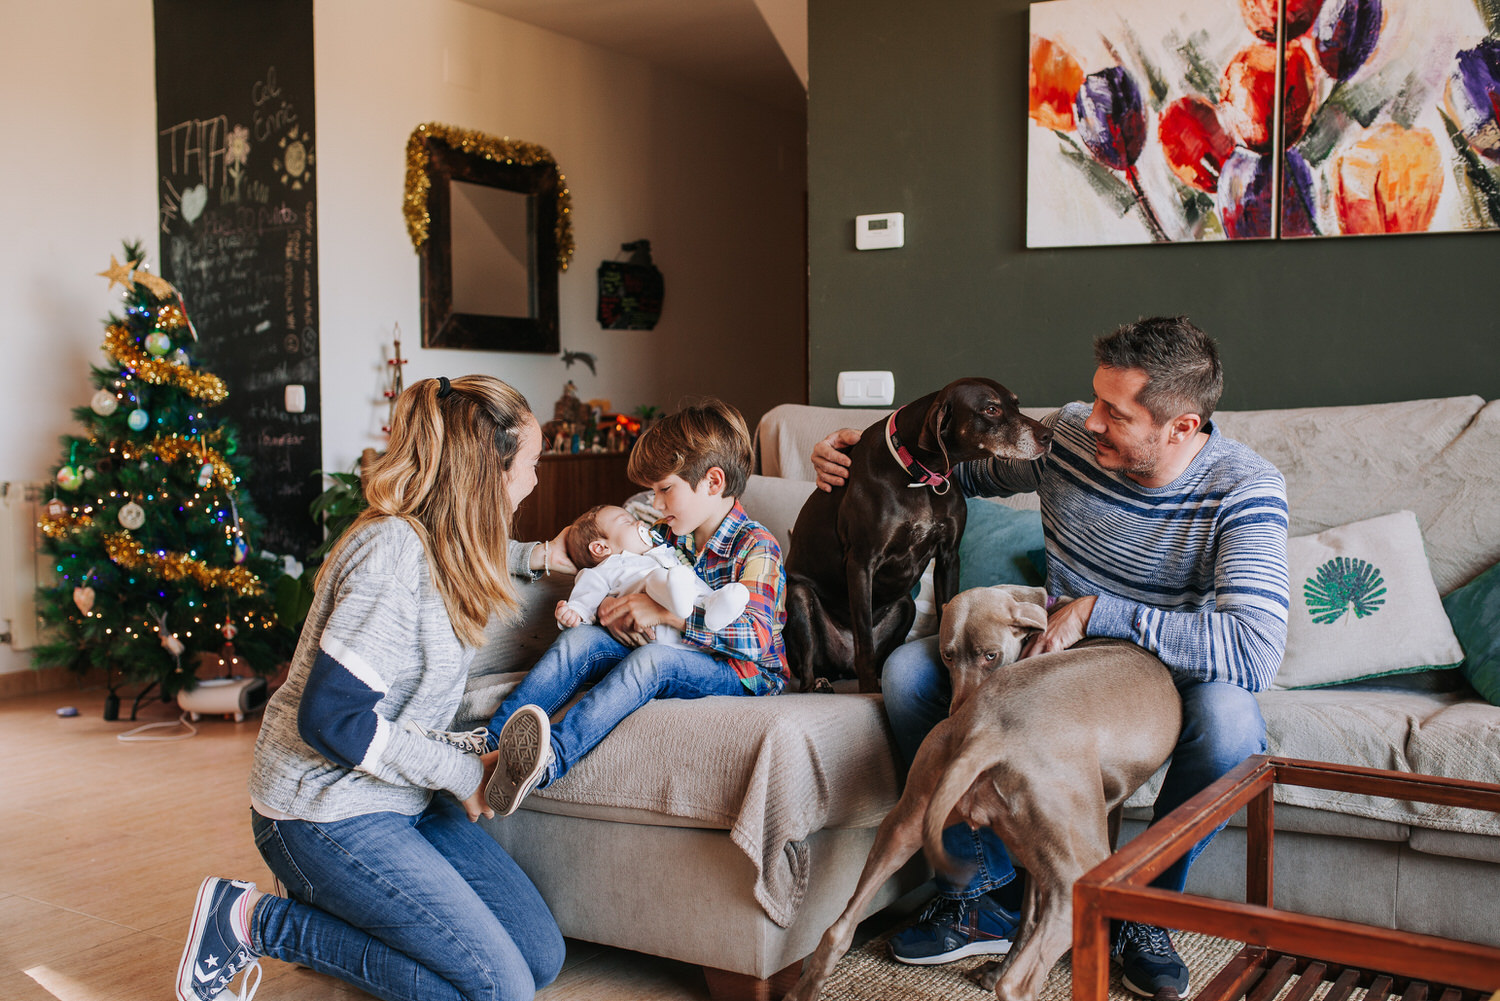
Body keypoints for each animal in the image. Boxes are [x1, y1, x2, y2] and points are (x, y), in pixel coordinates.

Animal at [786, 379, 1056, 693]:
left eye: (1016, 404)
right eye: (991, 409)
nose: (1048, 435)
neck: (921, 475)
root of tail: (840, 669)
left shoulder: (949, 558)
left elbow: (947, 615)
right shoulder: (861, 563)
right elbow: (864, 643)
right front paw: (870, 689)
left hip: (907, 605)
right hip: (800, 597)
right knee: (809, 670)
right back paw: (818, 683)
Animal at [786, 588, 1182, 1001]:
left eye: (990, 656)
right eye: (947, 655)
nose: (955, 706)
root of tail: (987, 731)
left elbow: (1028, 916)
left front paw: (994, 968)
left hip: (904, 822)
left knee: (837, 930)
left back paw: (804, 988)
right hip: (1085, 870)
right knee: (1019, 983)